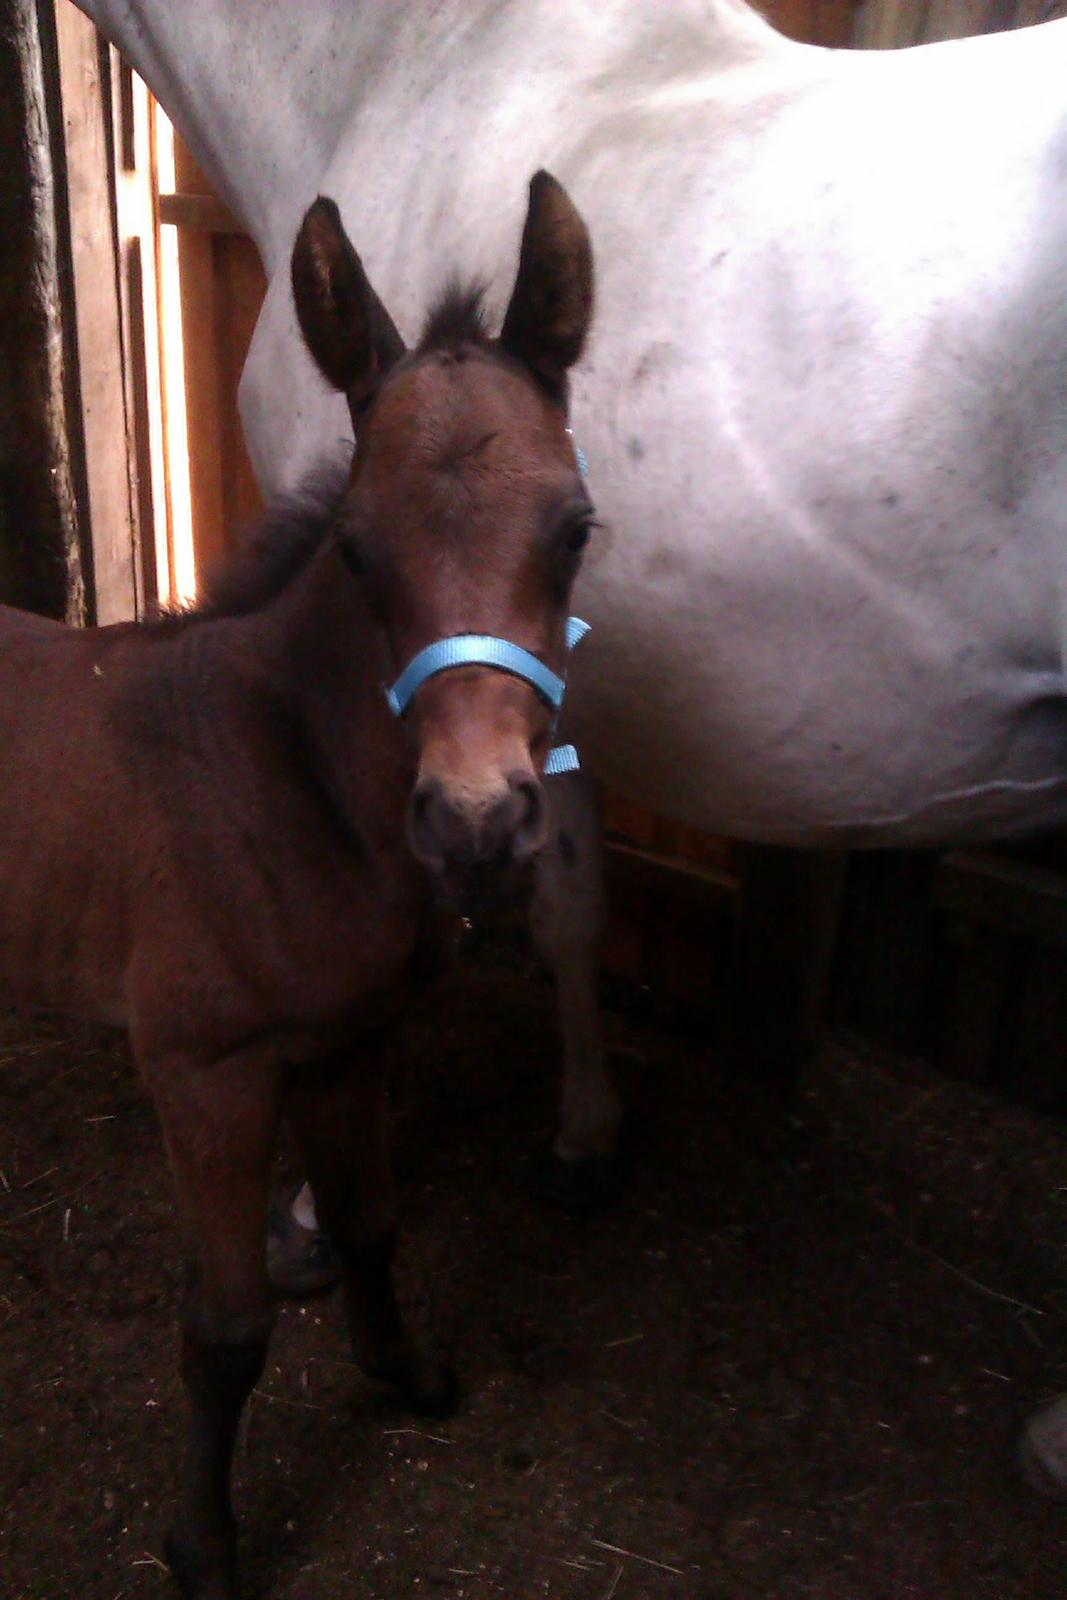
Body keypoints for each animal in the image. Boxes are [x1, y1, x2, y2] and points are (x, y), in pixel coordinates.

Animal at [0, 175, 598, 1600]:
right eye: (358, 553)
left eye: (573, 532)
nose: (475, 821)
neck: (280, 773)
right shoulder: (207, 1076)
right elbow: (226, 1329)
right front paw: (205, 1545)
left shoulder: (347, 1043)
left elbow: (374, 1223)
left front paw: (406, 1371)